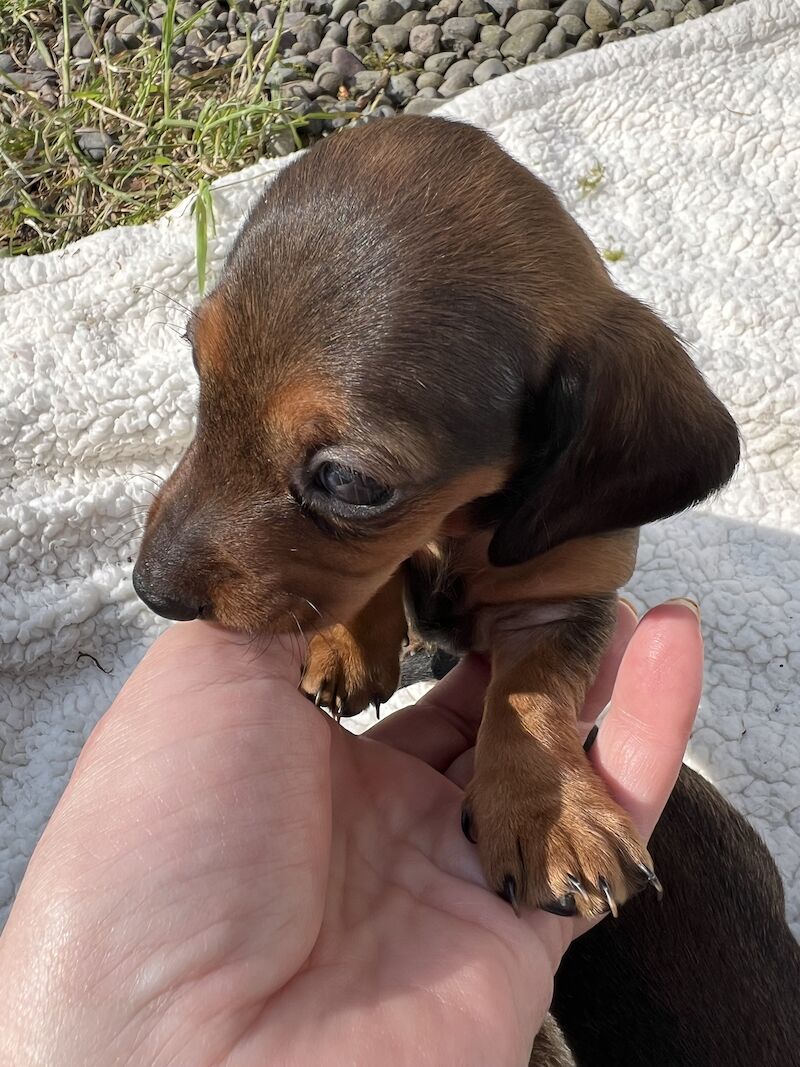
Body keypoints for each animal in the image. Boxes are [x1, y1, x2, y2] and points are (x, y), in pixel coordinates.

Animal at [134, 112, 742, 921]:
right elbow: (376, 578)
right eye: (200, 370)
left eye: (350, 480)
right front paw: (348, 646)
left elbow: (531, 691)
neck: (455, 527)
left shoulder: (565, 597)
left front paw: (548, 813)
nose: (150, 591)